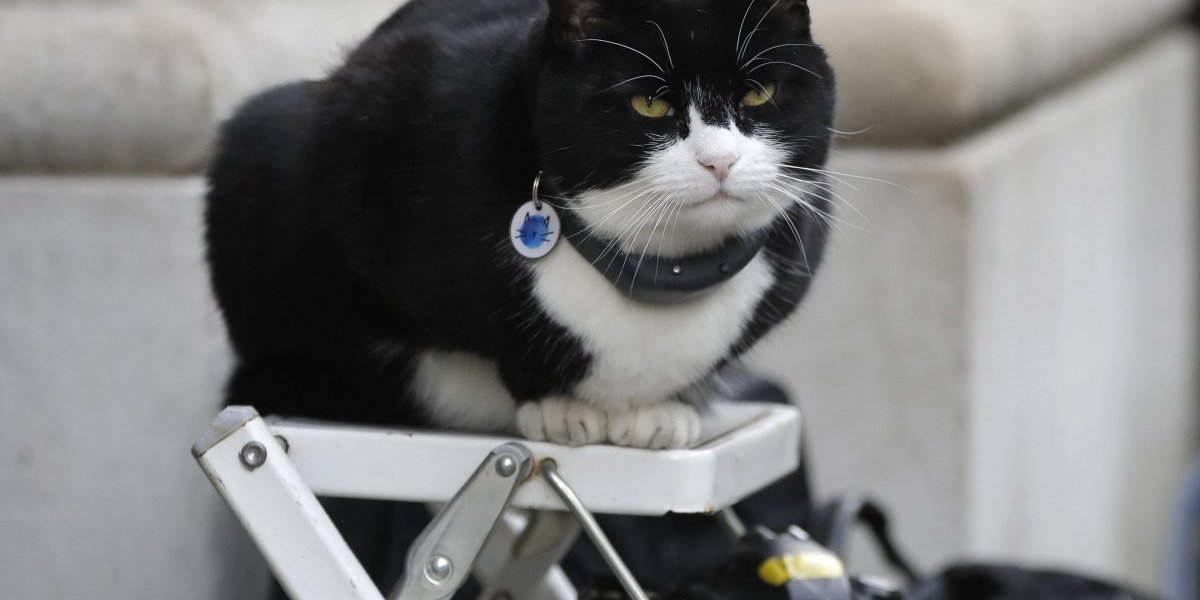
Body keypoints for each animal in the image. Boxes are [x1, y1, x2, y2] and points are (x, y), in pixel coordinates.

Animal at [205, 0, 836, 450]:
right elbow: (493, 326)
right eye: (649, 105)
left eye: (759, 92)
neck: (660, 265)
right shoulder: (363, 138)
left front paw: (664, 410)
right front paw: (558, 406)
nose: (720, 162)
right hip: (257, 139)